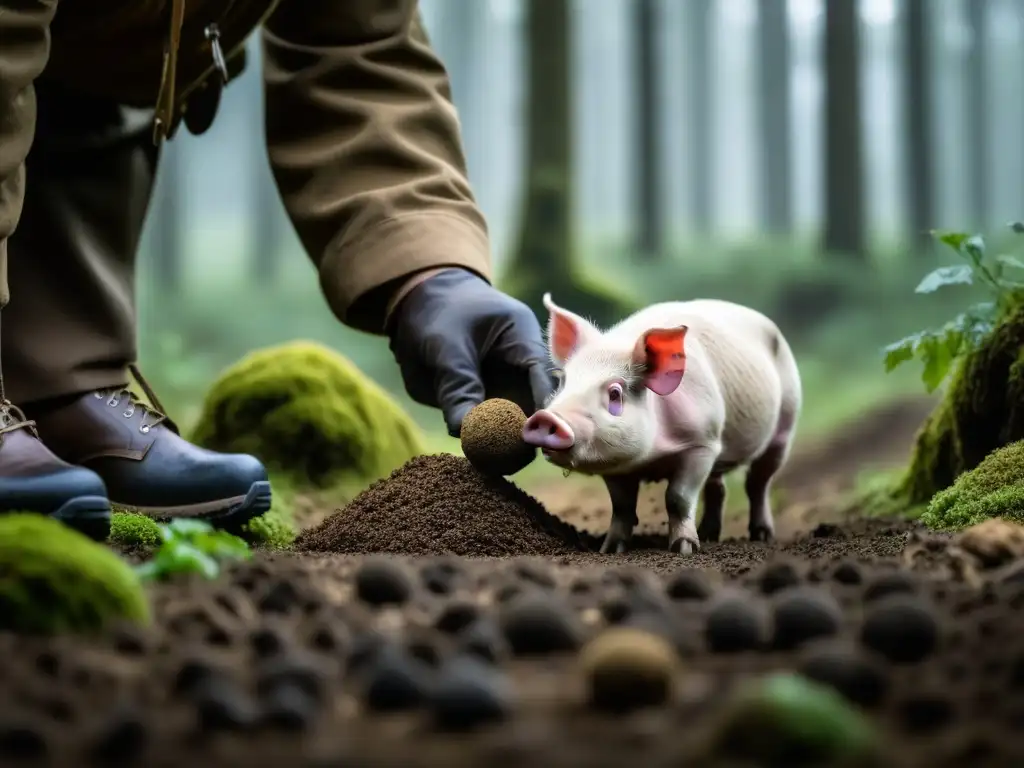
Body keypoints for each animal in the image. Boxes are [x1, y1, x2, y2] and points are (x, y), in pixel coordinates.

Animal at [524, 292, 802, 552]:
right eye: (562, 383)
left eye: (614, 393)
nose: (546, 417)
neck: (651, 458)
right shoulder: (614, 464)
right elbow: (622, 506)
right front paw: (609, 550)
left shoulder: (703, 443)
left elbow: (678, 498)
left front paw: (684, 549)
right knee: (718, 488)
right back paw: (709, 536)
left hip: (784, 426)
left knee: (758, 483)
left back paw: (761, 536)